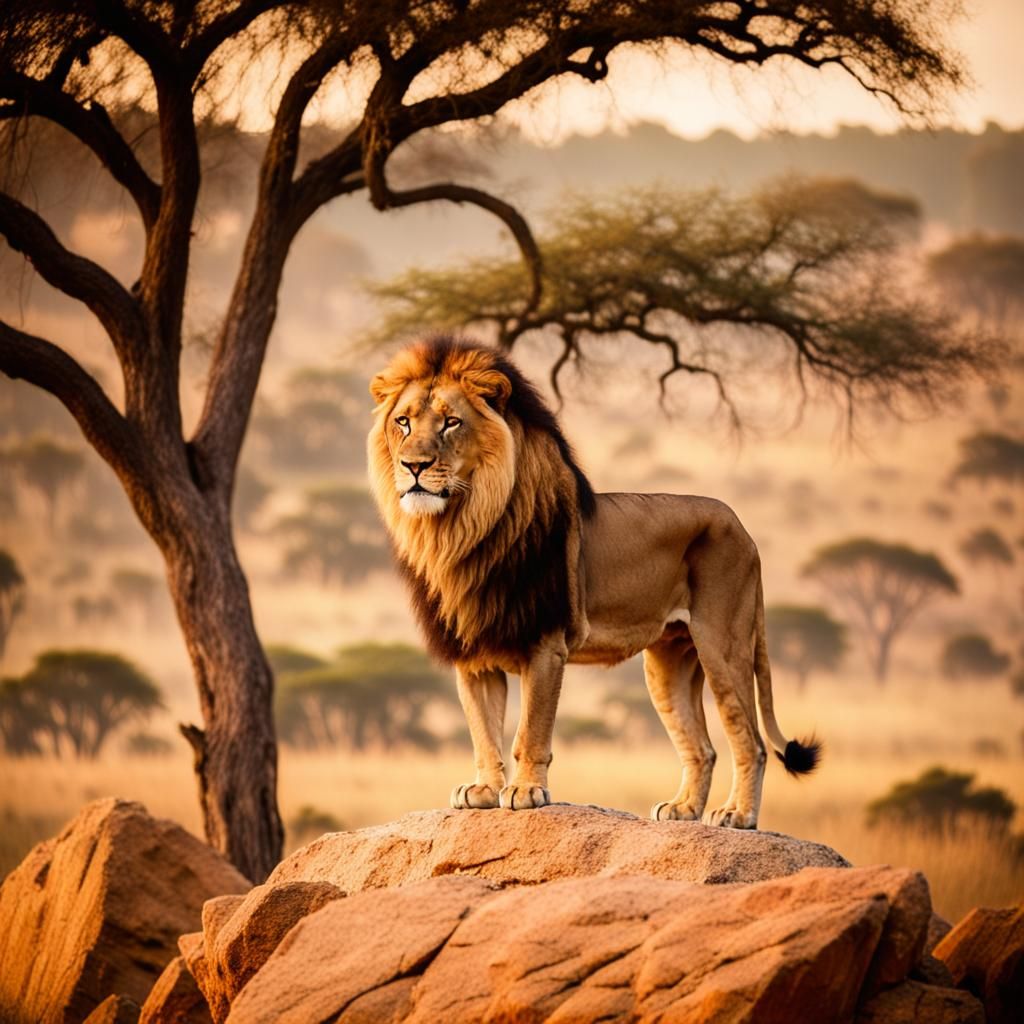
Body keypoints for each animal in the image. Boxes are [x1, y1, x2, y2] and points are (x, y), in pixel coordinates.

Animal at [368, 337, 820, 828]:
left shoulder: (546, 643)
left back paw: (737, 814)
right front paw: (484, 790)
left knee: (750, 742)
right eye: (403, 422)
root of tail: (741, 526)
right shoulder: (473, 654)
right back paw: (682, 809)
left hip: (724, 646)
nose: (413, 466)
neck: (461, 529)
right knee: (702, 748)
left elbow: (530, 731)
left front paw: (526, 791)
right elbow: (482, 730)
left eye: (451, 422)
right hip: (669, 663)